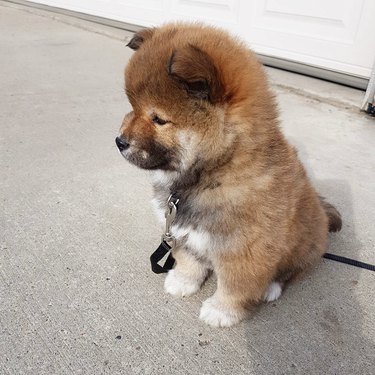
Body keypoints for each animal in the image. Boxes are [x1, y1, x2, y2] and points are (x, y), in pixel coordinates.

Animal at [117, 23, 344, 328]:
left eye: (158, 119)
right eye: (133, 107)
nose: (119, 141)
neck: (214, 172)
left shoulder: (244, 252)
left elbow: (235, 287)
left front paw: (221, 311)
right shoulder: (184, 232)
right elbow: (189, 261)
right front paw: (183, 281)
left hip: (305, 247)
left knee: (291, 272)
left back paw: (271, 288)